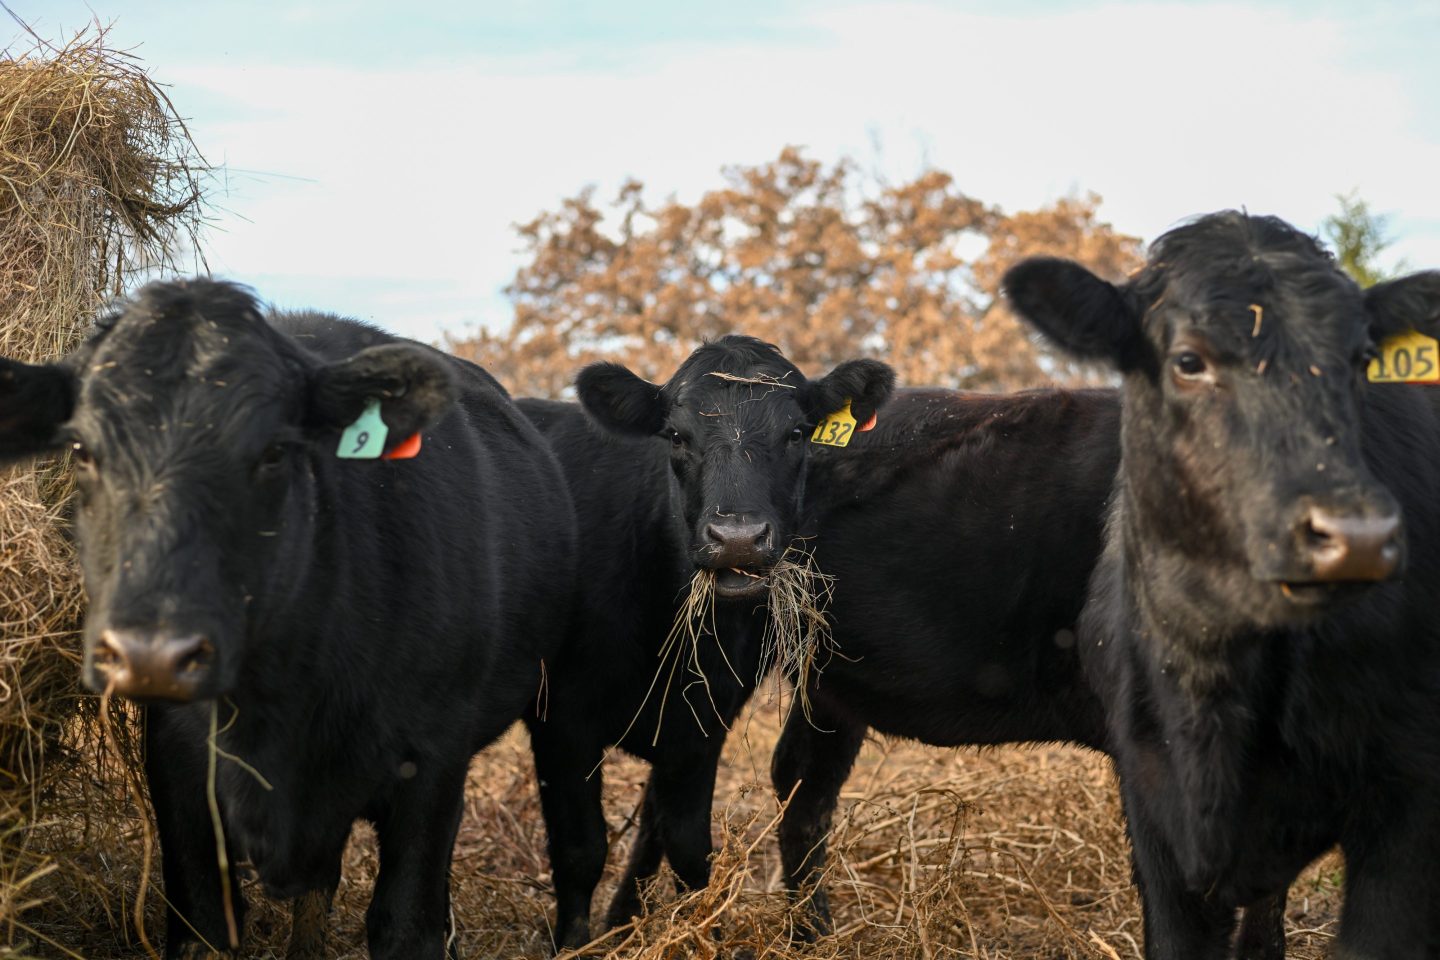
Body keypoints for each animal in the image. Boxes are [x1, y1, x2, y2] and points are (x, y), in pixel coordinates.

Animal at [0, 279, 577, 959]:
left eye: (276, 452)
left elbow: (406, 924)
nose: (151, 654)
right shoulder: (179, 766)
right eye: (83, 450)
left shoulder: (433, 761)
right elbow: (203, 927)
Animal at [516, 335, 893, 950]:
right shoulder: (561, 722)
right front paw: (572, 945)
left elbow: (690, 849)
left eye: (797, 433)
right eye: (675, 435)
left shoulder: (702, 723)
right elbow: (580, 852)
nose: (736, 539)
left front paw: (699, 935)